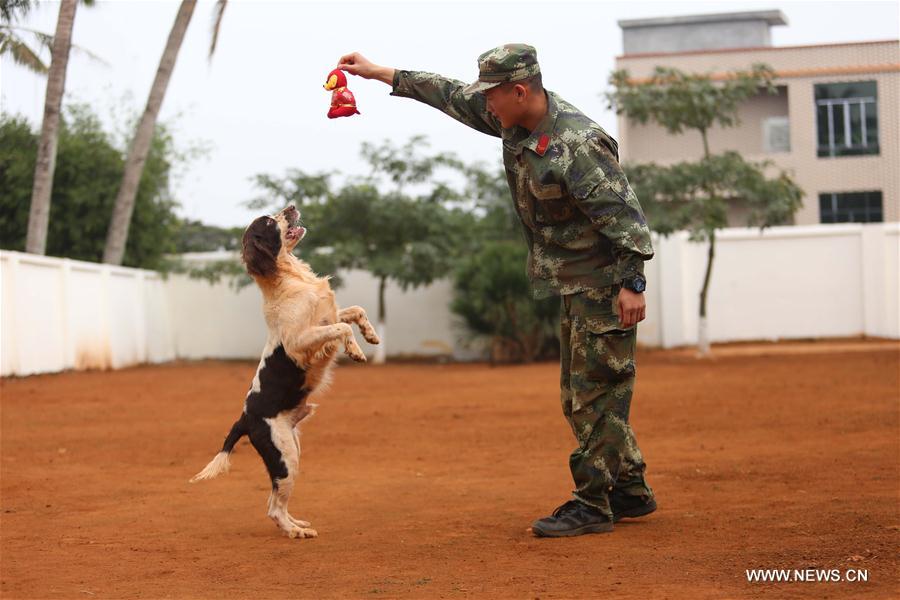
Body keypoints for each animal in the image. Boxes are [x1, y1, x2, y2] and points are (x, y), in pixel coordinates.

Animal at [191, 204, 380, 536]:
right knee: (273, 508)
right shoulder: (299, 341)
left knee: (274, 502)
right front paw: (355, 349)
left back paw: (296, 523)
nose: (291, 206)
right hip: (285, 457)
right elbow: (343, 327)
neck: (291, 278)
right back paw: (295, 532)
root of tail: (244, 419)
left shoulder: (327, 316)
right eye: (268, 222)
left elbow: (355, 311)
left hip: (292, 450)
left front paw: (370, 336)